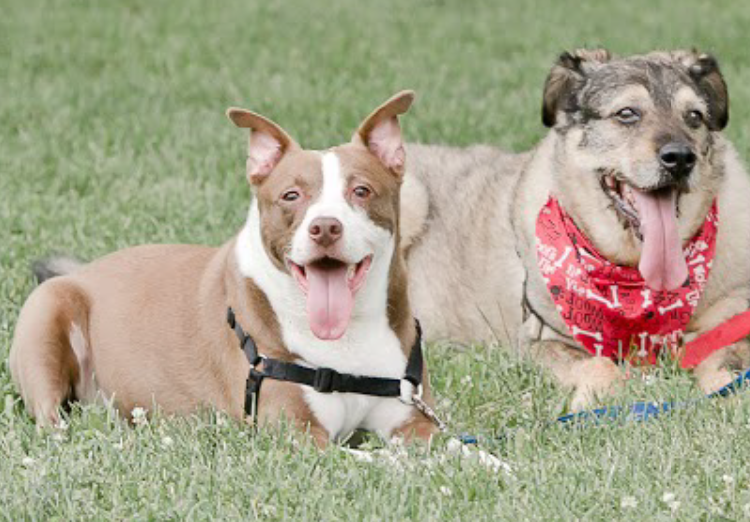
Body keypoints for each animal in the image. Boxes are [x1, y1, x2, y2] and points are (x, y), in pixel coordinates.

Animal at [8, 89, 438, 442]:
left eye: (361, 190)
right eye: (291, 195)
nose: (326, 227)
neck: (347, 338)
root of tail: (79, 272)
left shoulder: (415, 420)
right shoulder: (296, 433)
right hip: (47, 314)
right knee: (51, 420)